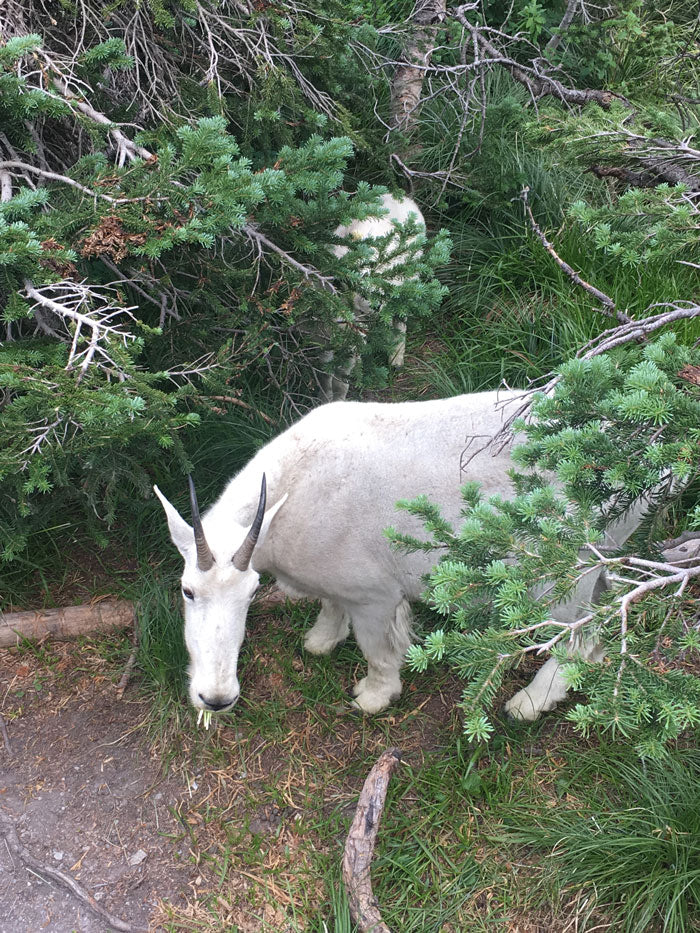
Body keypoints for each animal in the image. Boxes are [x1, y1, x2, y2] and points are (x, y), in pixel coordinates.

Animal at [154, 390, 644, 716]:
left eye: (252, 593)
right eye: (187, 590)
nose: (216, 699)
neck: (293, 493)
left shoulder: (373, 595)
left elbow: (377, 649)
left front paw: (373, 697)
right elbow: (330, 606)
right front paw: (320, 642)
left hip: (565, 572)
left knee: (575, 634)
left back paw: (529, 702)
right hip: (601, 558)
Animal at [318, 193, 426, 400]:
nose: (376, 306)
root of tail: (399, 196)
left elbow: (341, 376)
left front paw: (338, 399)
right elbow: (325, 373)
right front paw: (324, 399)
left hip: (409, 278)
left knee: (400, 318)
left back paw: (396, 359)